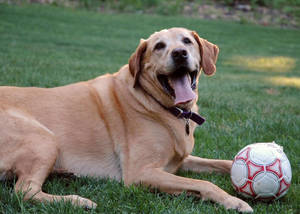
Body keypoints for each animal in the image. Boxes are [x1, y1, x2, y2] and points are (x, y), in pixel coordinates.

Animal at [0, 27, 253, 212]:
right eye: (159, 46)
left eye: (187, 41)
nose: (180, 53)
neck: (159, 105)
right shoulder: (140, 172)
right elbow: (203, 183)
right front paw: (235, 201)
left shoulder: (178, 161)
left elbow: (222, 163)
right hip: (43, 138)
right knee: (24, 191)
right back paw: (77, 200)